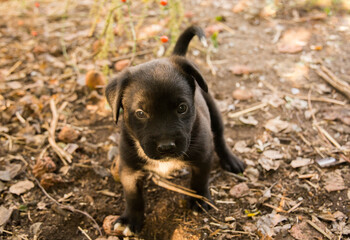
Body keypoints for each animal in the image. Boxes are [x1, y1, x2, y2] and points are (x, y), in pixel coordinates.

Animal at [105, 26, 245, 236]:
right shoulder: (128, 168)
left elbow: (200, 180)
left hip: (214, 111)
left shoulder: (203, 154)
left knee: (220, 137)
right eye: (140, 113)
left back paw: (231, 160)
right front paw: (130, 219)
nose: (166, 147)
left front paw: (199, 199)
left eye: (182, 108)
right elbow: (132, 196)